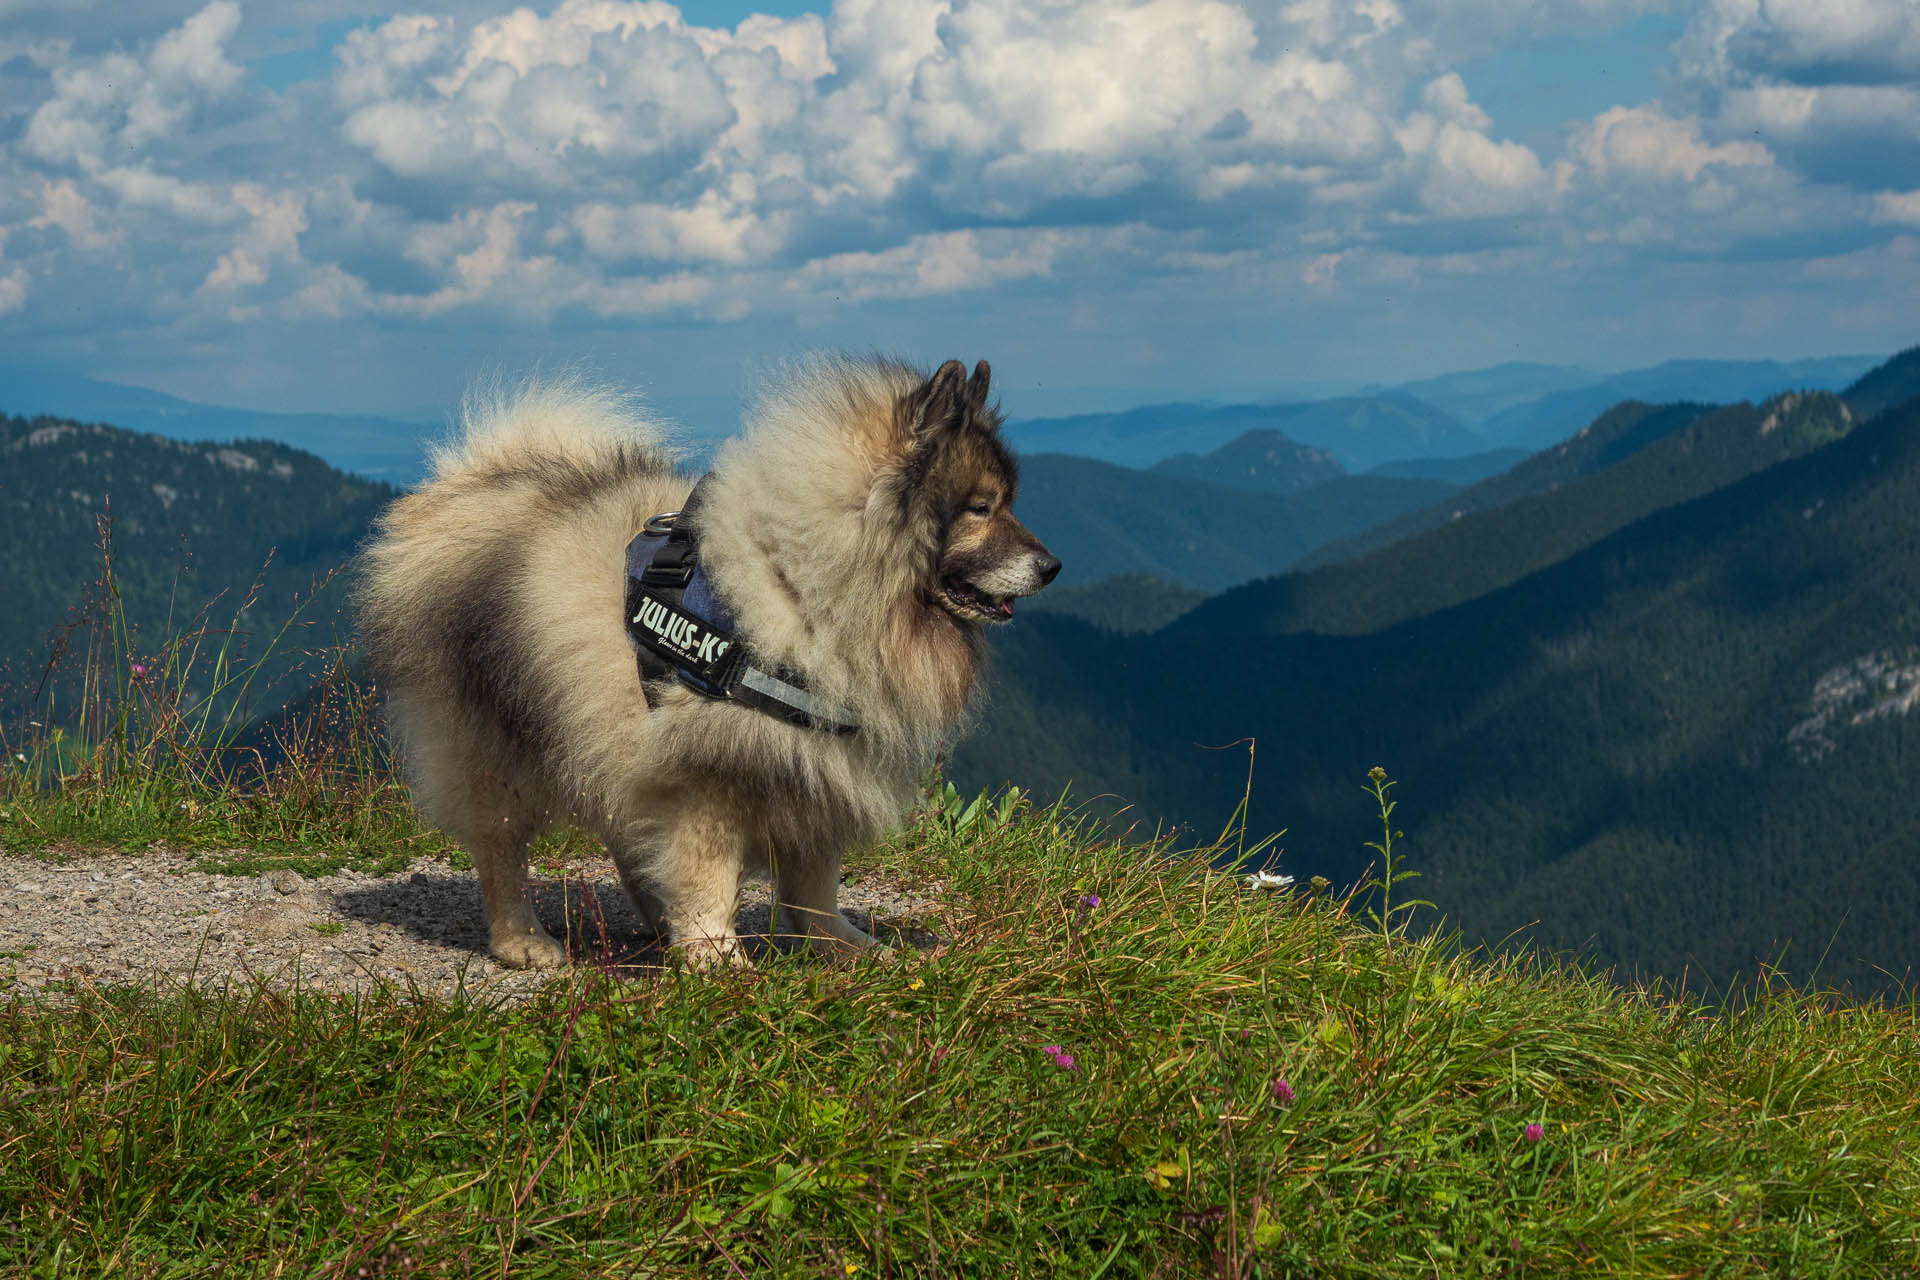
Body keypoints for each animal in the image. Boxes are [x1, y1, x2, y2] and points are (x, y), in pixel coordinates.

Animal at [353, 355, 1059, 967]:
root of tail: (469, 480)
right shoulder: (715, 771)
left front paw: (842, 947)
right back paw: (522, 940)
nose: (1052, 566)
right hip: (497, 744)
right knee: (500, 847)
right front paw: (719, 959)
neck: (798, 583)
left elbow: (815, 885)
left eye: (1007, 502)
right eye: (980, 508)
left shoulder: (813, 761)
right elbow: (710, 874)